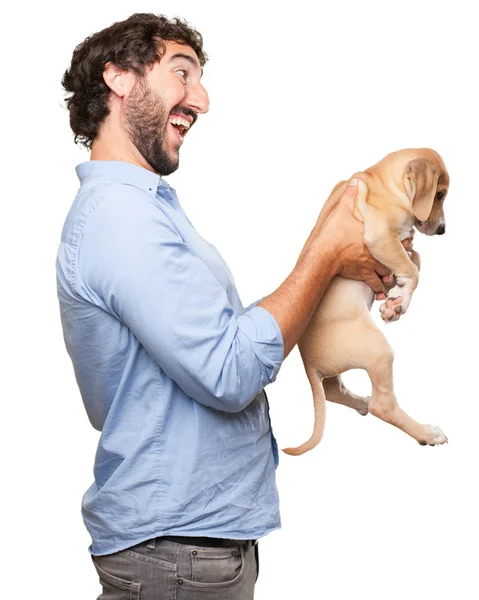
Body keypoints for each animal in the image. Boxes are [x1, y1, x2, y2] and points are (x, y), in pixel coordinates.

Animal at [284, 149, 448, 454]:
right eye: (440, 194)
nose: (443, 230)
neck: (382, 182)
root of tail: (307, 361)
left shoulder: (398, 246)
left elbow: (415, 260)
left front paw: (394, 300)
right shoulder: (381, 238)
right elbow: (414, 269)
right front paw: (399, 301)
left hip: (338, 368)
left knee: (333, 390)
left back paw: (360, 402)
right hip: (378, 350)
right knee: (382, 406)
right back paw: (426, 433)